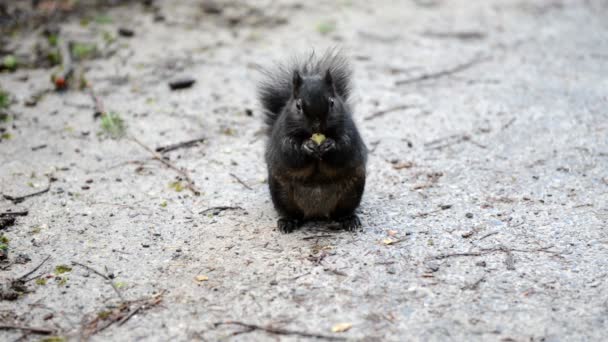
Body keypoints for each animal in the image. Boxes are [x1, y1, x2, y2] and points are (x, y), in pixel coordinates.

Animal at [256, 51, 366, 232]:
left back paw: (348, 219)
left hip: (351, 192)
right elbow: (289, 152)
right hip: (281, 194)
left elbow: (345, 147)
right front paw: (306, 147)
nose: (317, 125)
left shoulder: (348, 131)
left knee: (342, 212)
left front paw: (330, 145)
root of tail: (317, 212)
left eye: (332, 102)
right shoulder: (282, 135)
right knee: (291, 213)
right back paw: (287, 222)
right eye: (298, 106)